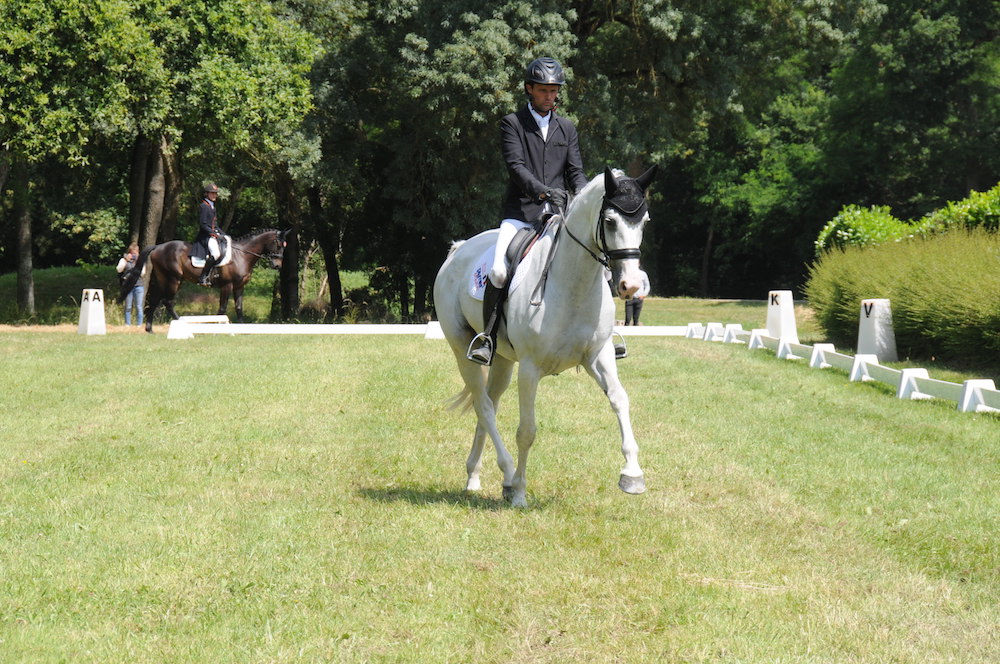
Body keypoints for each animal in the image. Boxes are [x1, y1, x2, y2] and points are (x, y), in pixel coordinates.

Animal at [119, 228, 290, 332]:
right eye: (278, 244)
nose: (277, 265)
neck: (242, 256)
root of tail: (158, 246)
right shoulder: (227, 286)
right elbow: (222, 309)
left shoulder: (239, 287)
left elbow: (239, 308)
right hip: (174, 279)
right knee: (167, 301)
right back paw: (181, 323)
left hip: (164, 279)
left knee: (155, 300)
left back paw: (149, 329)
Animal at [432, 166, 656, 508]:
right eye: (610, 221)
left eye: (643, 222)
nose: (630, 285)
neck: (573, 283)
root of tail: (458, 250)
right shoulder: (530, 368)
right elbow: (527, 431)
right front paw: (520, 493)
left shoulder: (599, 355)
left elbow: (620, 399)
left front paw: (632, 475)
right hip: (462, 350)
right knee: (484, 406)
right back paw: (507, 474)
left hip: (501, 359)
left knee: (490, 404)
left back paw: (475, 476)